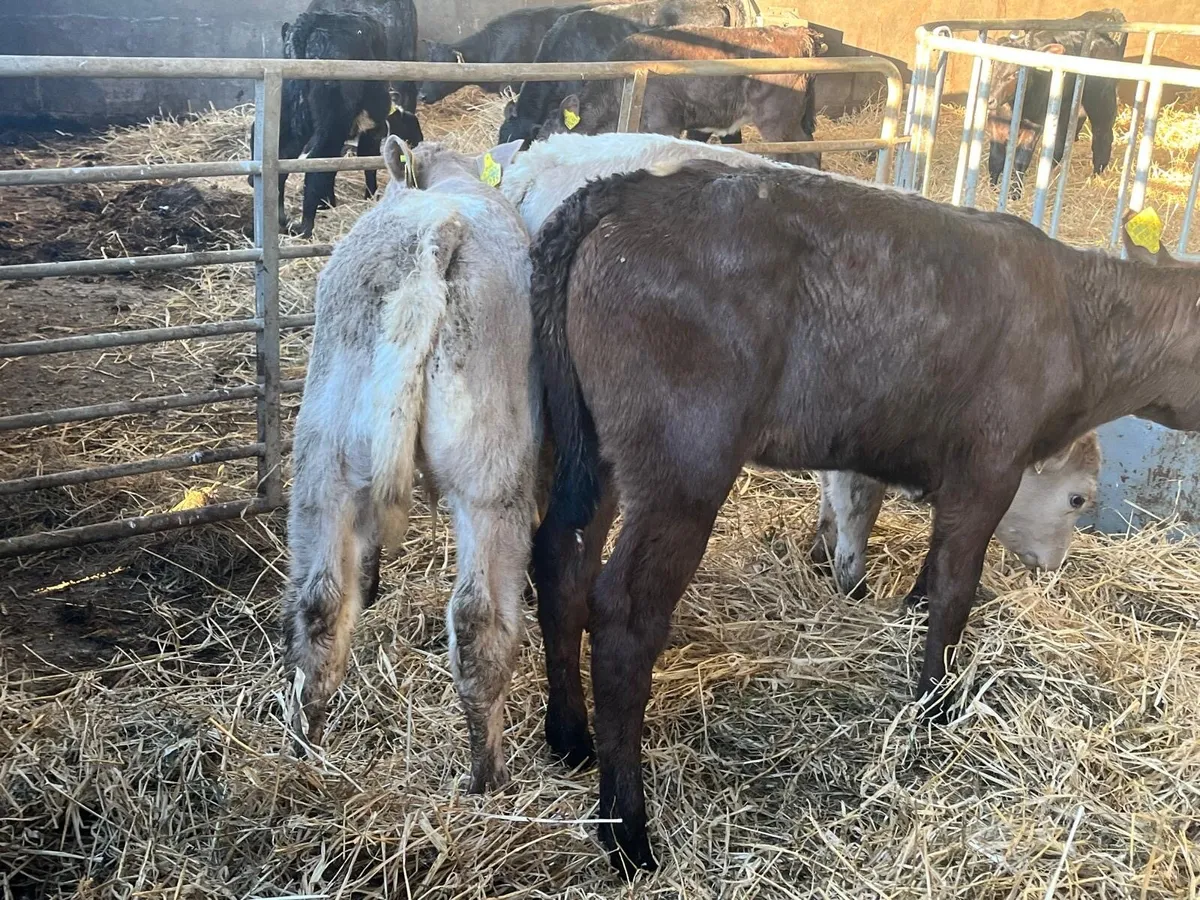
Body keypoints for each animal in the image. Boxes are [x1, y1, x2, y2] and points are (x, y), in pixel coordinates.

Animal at [281, 135, 534, 795]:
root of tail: (433, 234)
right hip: (492, 476)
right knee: (478, 623)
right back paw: (488, 778)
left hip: (325, 457)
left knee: (319, 606)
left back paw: (304, 751)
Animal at [985, 8, 1128, 195]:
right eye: (993, 64)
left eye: (1016, 73)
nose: (990, 99)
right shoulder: (995, 121)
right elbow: (996, 157)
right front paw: (992, 189)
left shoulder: (1035, 125)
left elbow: (1021, 159)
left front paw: (1014, 194)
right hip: (1066, 105)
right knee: (1061, 142)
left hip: (1101, 99)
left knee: (1102, 135)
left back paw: (1095, 177)